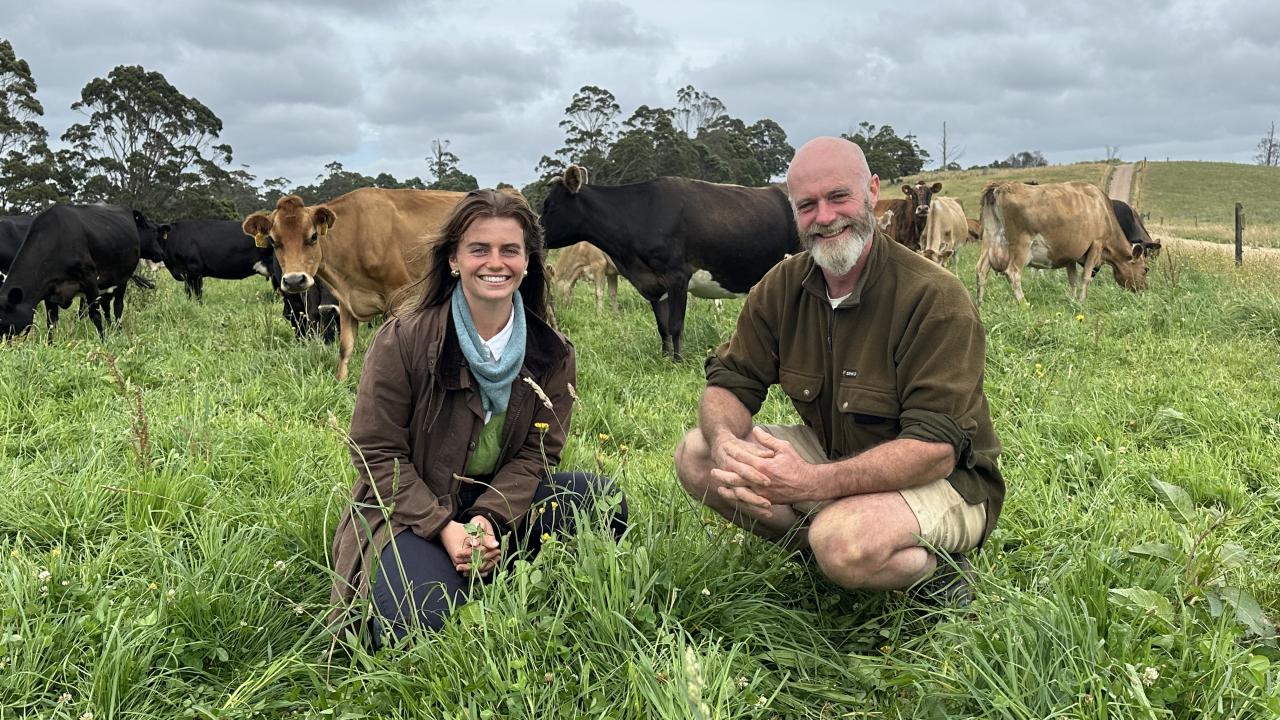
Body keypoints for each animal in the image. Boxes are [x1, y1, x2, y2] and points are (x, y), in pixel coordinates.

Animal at [0, 202, 142, 335]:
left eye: (5, 325)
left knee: (117, 306)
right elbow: (51, 322)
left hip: (122, 279)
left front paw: (104, 341)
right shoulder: (49, 289)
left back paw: (118, 331)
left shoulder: (90, 279)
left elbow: (95, 315)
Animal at [240, 188, 465, 379]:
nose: (295, 280)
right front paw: (340, 382)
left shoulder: (402, 298)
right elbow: (345, 347)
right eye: (274, 241)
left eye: (313, 236)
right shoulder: (346, 301)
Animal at [535, 165, 793, 361]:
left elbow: (676, 324)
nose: (536, 234)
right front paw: (664, 357)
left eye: (550, 206)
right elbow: (663, 326)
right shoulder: (653, 284)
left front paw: (678, 361)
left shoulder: (677, 277)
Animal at [972, 180, 1146, 303]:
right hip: (1021, 246)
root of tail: (1001, 186)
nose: (1143, 290)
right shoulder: (1097, 244)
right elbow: (1085, 277)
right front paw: (1082, 302)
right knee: (1013, 273)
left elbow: (1072, 279)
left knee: (981, 270)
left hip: (989, 241)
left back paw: (980, 304)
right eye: (1146, 270)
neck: (1103, 210)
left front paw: (1073, 300)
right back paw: (1024, 304)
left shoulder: (1070, 254)